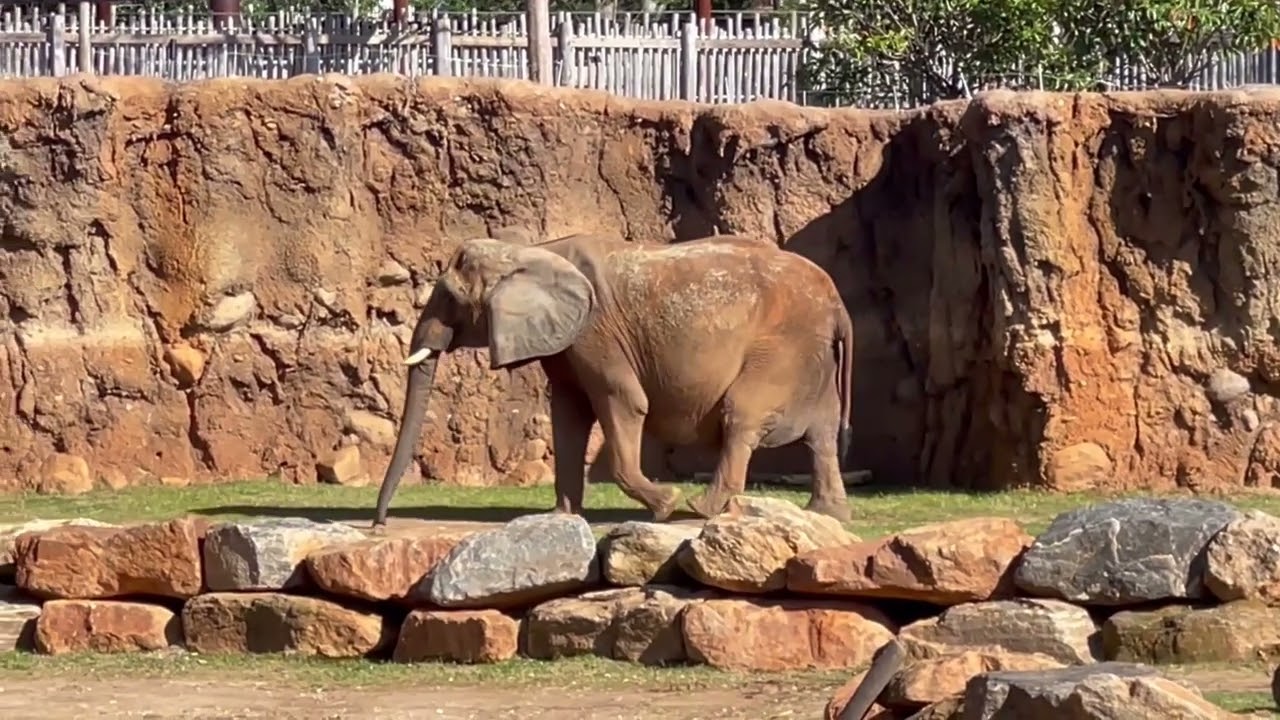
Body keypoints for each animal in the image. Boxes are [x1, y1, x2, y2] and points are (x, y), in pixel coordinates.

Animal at [372, 231, 856, 526]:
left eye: (450, 297)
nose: (380, 523)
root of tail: (838, 304)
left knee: (741, 417)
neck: (532, 249)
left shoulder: (596, 332)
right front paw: (562, 518)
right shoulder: (568, 342)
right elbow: (568, 414)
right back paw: (826, 515)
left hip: (783, 346)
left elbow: (623, 401)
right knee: (822, 433)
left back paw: (701, 508)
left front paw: (664, 506)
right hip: (811, 356)